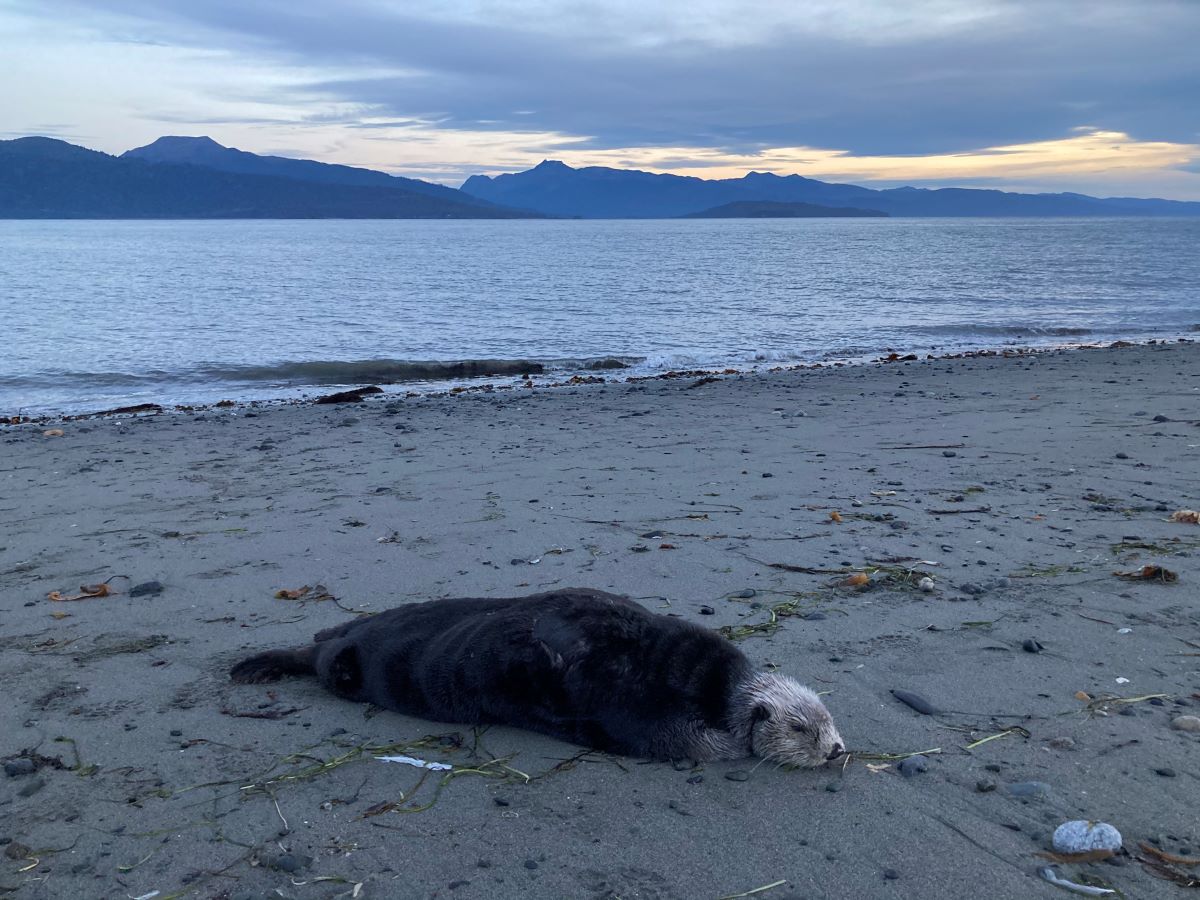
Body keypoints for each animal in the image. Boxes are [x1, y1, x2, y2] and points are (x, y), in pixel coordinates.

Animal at [230, 588, 844, 767]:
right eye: (799, 728)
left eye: (826, 718)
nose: (837, 749)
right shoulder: (643, 717)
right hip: (351, 666)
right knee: (318, 657)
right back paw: (256, 666)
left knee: (328, 636)